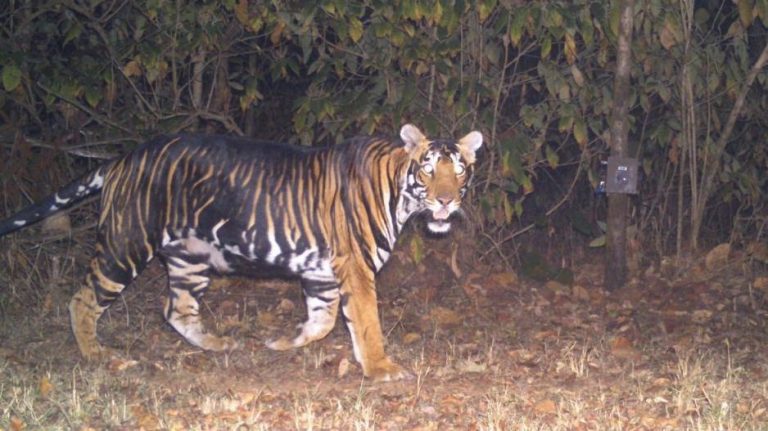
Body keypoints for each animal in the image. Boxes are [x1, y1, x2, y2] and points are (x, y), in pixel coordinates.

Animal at [0, 124, 482, 381]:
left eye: (459, 171)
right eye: (428, 170)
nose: (445, 201)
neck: (400, 192)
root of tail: (122, 159)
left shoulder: (322, 274)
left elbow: (323, 321)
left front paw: (284, 342)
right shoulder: (356, 268)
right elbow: (365, 323)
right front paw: (381, 368)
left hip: (190, 258)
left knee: (176, 310)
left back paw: (217, 344)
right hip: (125, 245)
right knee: (82, 300)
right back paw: (98, 356)